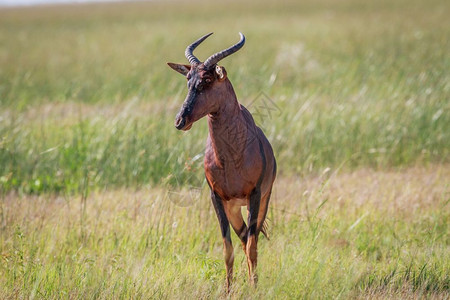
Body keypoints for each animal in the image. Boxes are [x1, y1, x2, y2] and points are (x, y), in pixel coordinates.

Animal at [167, 32, 276, 290]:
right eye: (188, 79)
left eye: (207, 80)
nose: (180, 120)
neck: (232, 157)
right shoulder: (216, 197)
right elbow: (227, 248)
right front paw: (228, 289)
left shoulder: (255, 194)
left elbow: (252, 245)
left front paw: (253, 288)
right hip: (233, 207)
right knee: (244, 236)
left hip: (262, 201)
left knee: (251, 240)